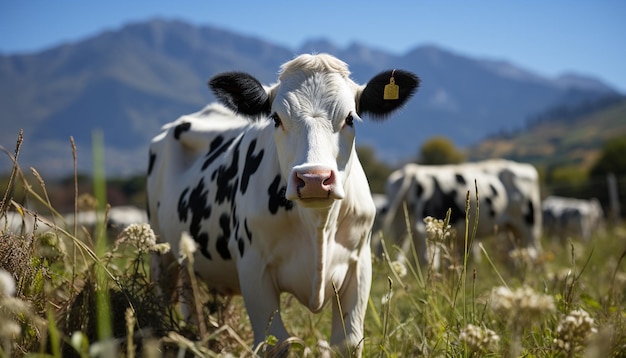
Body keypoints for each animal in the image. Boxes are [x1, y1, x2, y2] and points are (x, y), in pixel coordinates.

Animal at [146, 53, 420, 356]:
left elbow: (347, 341)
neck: (318, 226)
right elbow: (276, 342)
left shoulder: (359, 266)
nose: (314, 179)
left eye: (350, 118)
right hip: (160, 250)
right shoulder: (254, 268)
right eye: (276, 118)